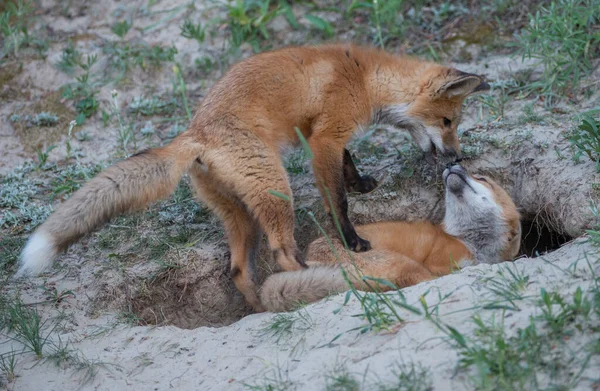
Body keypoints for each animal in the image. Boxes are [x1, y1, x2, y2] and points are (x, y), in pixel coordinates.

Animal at [16, 44, 490, 310]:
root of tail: (195, 133)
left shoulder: (322, 135)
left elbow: (348, 163)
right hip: (276, 191)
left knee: (240, 270)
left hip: (241, 214)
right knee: (281, 253)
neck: (364, 76)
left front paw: (361, 183)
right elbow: (336, 199)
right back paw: (311, 281)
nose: (456, 157)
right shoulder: (324, 137)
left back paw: (260, 308)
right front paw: (351, 238)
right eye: (448, 122)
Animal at [260, 164, 524, 314]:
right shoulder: (438, 262)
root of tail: (307, 260)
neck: (472, 243)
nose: (452, 164)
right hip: (404, 263)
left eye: (482, 178)